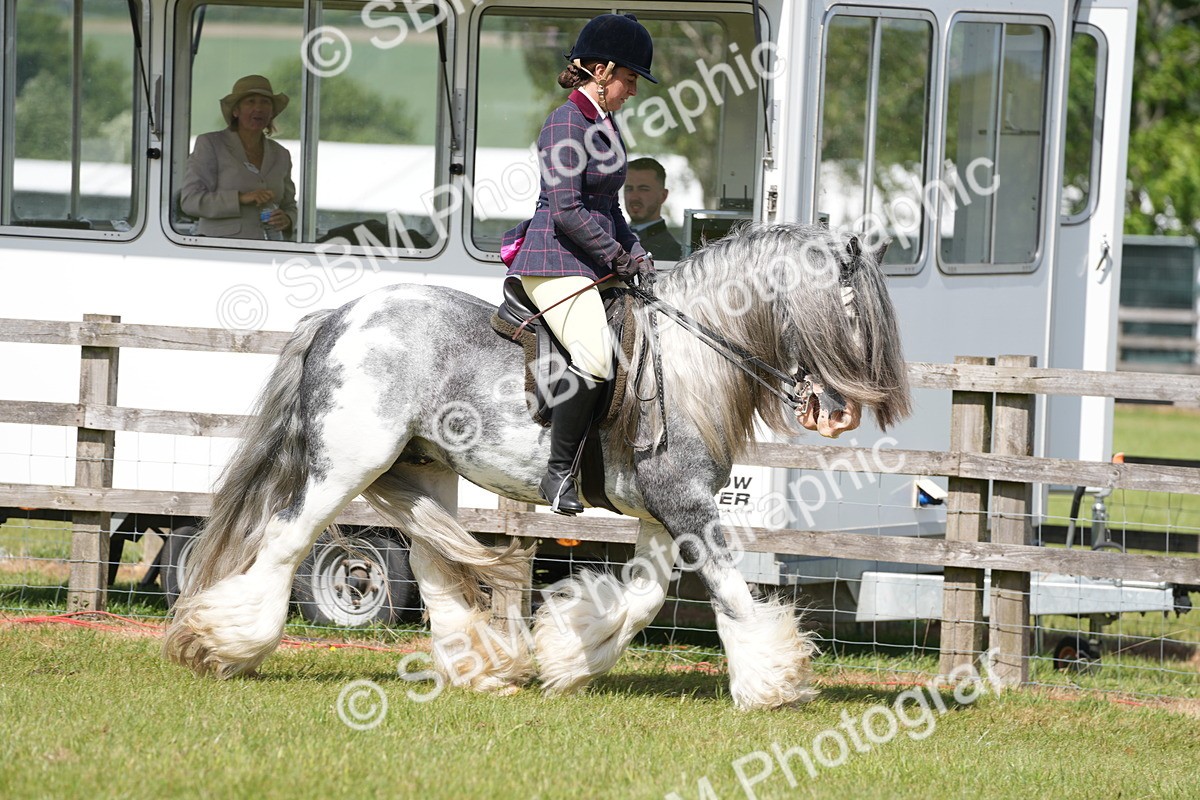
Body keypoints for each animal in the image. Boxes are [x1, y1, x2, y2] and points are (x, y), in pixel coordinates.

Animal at [162, 222, 910, 711]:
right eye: (851, 312)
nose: (839, 414)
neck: (691, 354)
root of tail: (340, 315)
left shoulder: (663, 513)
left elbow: (644, 600)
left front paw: (569, 656)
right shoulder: (687, 505)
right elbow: (731, 593)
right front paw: (773, 684)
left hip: (422, 469)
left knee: (432, 563)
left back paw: (481, 671)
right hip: (344, 469)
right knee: (285, 542)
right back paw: (223, 643)